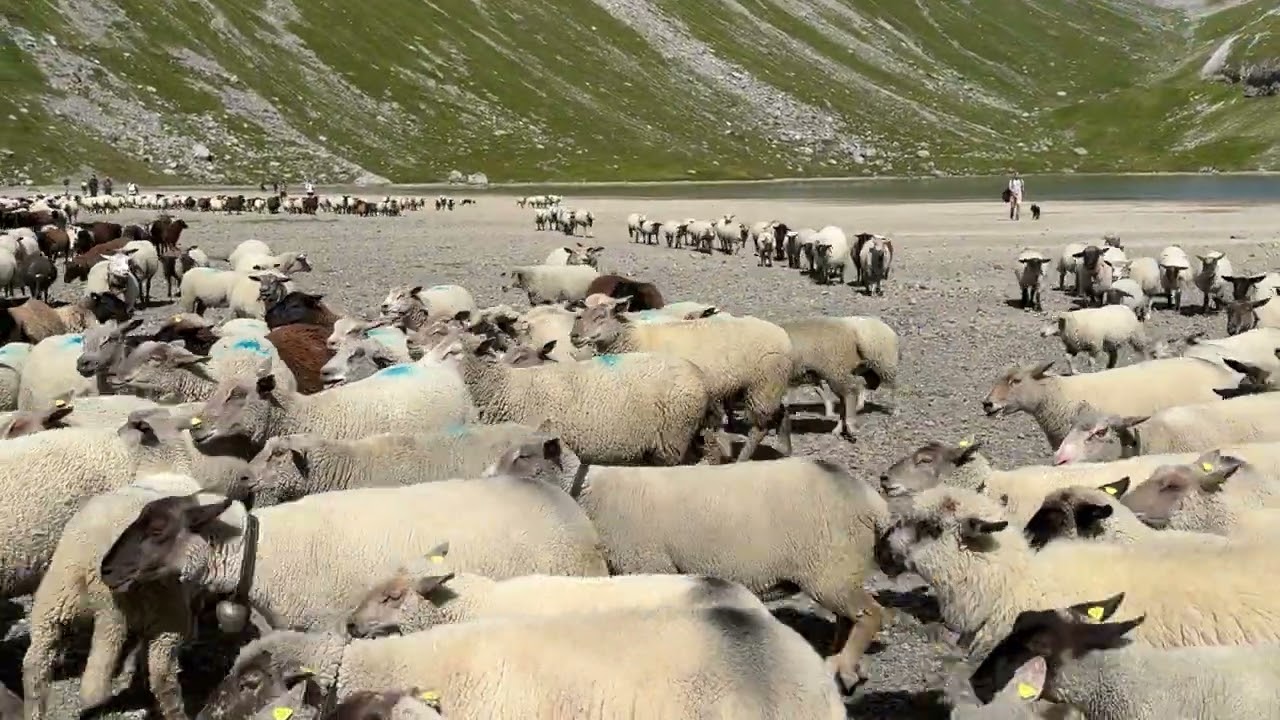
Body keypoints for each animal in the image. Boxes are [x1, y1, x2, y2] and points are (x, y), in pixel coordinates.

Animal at [544, 453, 887, 689]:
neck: (587, 490)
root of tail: (872, 501)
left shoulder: (648, 564)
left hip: (829, 569)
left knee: (871, 614)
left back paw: (844, 667)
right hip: (840, 569)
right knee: (848, 617)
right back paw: (842, 660)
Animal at [572, 299, 793, 461]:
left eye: (600, 316)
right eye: (580, 315)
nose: (574, 336)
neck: (635, 338)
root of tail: (784, 336)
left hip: (764, 384)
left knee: (760, 428)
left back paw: (742, 459)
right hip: (762, 386)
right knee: (780, 412)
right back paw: (785, 450)